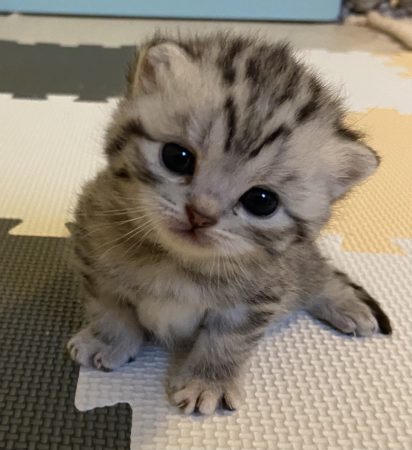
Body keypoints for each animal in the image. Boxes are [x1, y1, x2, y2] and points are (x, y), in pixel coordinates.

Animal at [66, 33, 392, 414]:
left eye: (261, 201)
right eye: (176, 157)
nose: (201, 214)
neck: (175, 263)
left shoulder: (256, 298)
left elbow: (228, 340)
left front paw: (209, 381)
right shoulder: (93, 249)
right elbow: (109, 307)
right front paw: (108, 340)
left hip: (298, 264)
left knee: (319, 275)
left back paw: (346, 304)